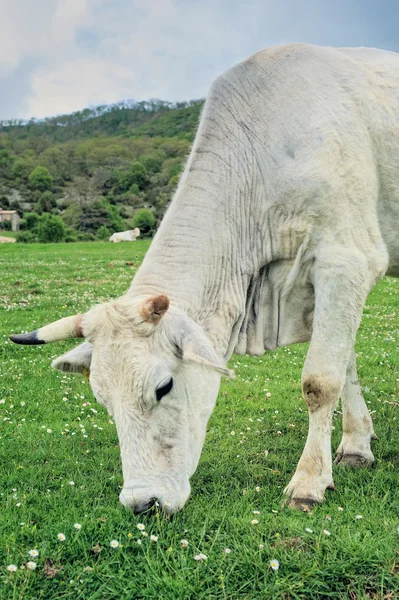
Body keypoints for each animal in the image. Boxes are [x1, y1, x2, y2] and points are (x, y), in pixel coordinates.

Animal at [9, 45, 399, 516]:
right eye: (102, 399)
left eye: (164, 387)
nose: (142, 503)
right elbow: (346, 364)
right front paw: (357, 445)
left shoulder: (346, 260)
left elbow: (320, 381)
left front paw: (308, 482)